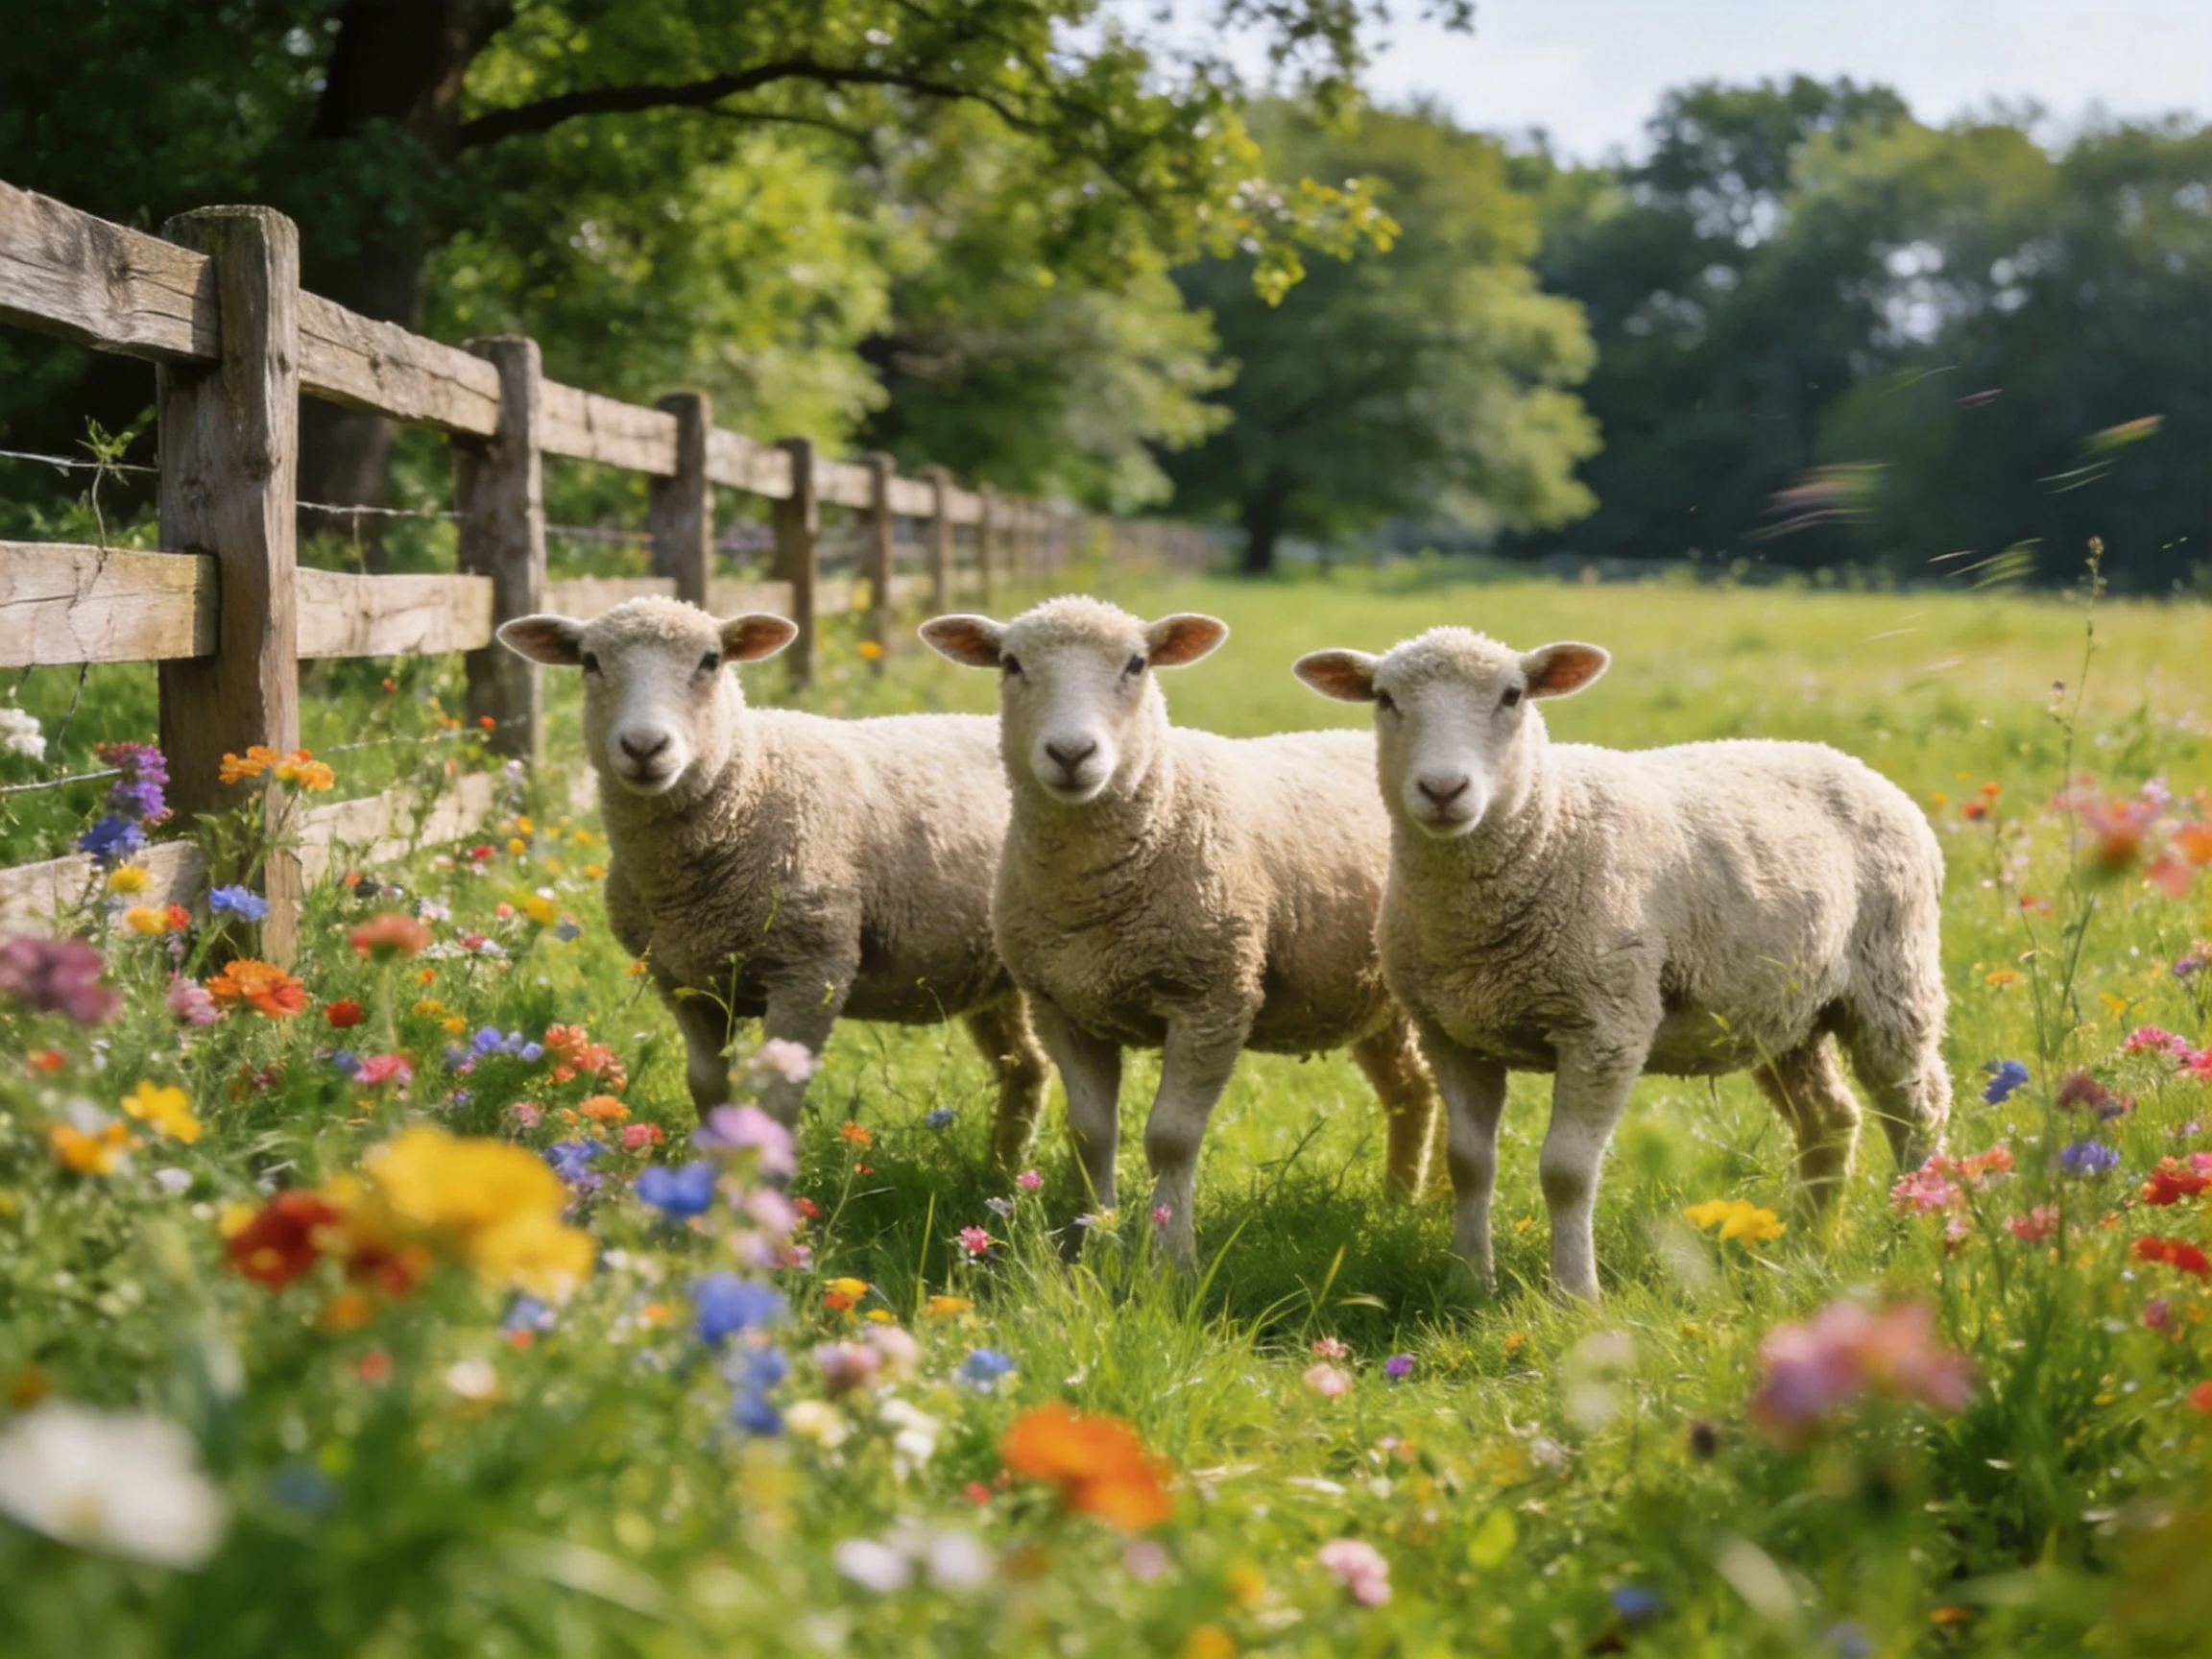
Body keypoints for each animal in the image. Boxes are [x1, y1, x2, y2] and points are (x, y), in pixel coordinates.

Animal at [498, 598, 1049, 1164]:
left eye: (711, 660)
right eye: (590, 661)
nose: (645, 746)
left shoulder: (811, 972)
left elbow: (776, 1100)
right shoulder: (683, 982)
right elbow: (708, 1087)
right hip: (995, 976)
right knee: (1027, 1067)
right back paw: (1002, 1171)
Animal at [921, 596, 1441, 1268]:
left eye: (1136, 664)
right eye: (1011, 664)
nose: (1071, 753)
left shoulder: (1212, 998)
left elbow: (1169, 1138)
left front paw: (1172, 1261)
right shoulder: (1062, 1005)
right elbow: (1091, 1134)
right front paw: (1090, 1247)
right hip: (1373, 1001)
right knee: (1413, 1090)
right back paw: (1401, 1201)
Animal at [1295, 627, 1951, 1301]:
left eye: (1513, 695)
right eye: (1384, 698)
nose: (1444, 790)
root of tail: (1841, 758)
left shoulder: (1605, 1026)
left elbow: (1566, 1171)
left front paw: (1574, 1296)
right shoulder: (1452, 1034)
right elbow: (1470, 1164)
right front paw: (1468, 1283)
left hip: (1892, 981)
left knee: (1918, 1110)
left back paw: (1915, 1230)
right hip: (1784, 1012)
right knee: (1830, 1119)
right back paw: (1806, 1247)